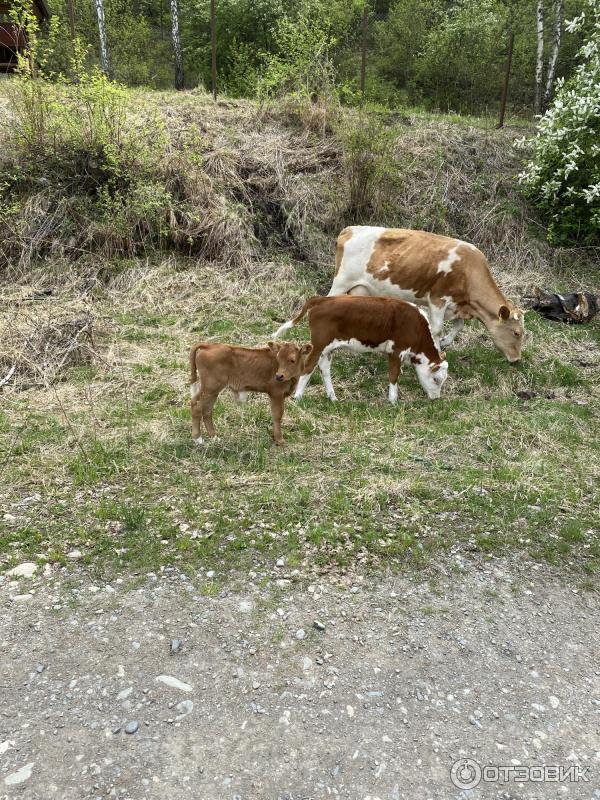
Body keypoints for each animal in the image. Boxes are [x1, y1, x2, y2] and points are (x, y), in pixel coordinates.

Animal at [274, 296, 448, 404]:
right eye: (436, 379)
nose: (436, 398)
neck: (416, 326)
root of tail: (323, 298)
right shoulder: (396, 351)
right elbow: (393, 375)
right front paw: (393, 401)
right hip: (319, 344)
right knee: (308, 367)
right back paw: (298, 397)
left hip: (327, 348)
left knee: (325, 369)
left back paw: (332, 398)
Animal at [314, 225, 524, 362]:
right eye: (517, 332)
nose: (517, 359)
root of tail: (349, 229)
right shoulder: (438, 298)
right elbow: (437, 328)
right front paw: (439, 351)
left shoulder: (456, 305)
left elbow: (459, 325)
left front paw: (446, 342)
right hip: (342, 281)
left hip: (357, 289)